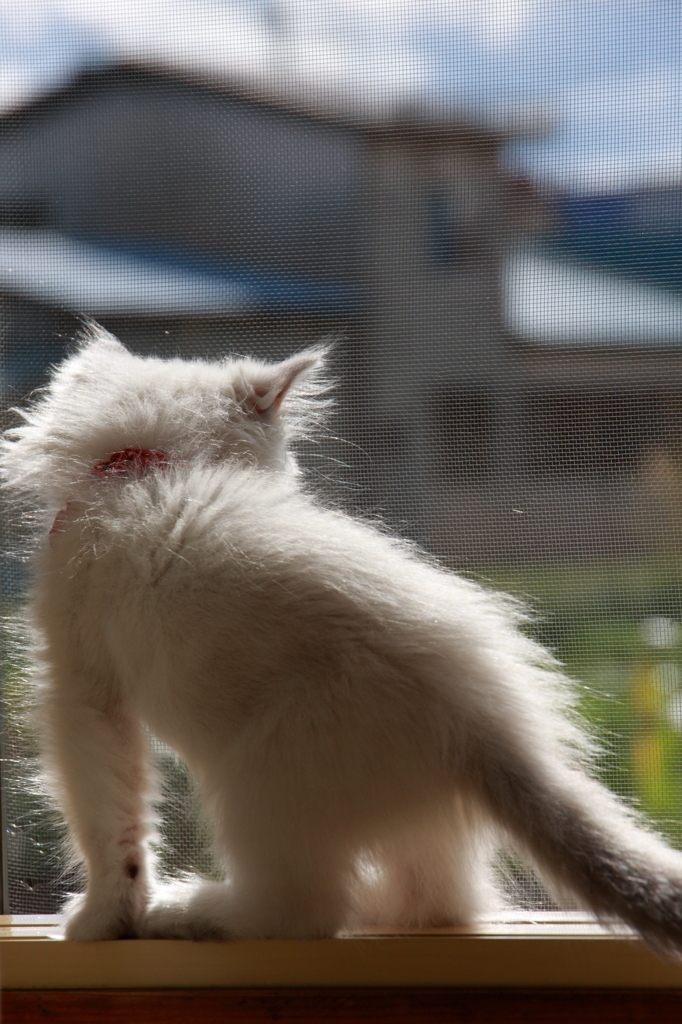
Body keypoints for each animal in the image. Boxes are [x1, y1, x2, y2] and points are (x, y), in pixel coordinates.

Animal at [3, 321, 679, 950]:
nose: (293, 483)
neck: (146, 468)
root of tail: (489, 727)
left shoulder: (82, 691)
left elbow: (109, 823)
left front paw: (100, 921)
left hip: (261, 776)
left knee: (301, 911)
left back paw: (188, 909)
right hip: (399, 813)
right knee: (435, 902)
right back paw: (365, 907)